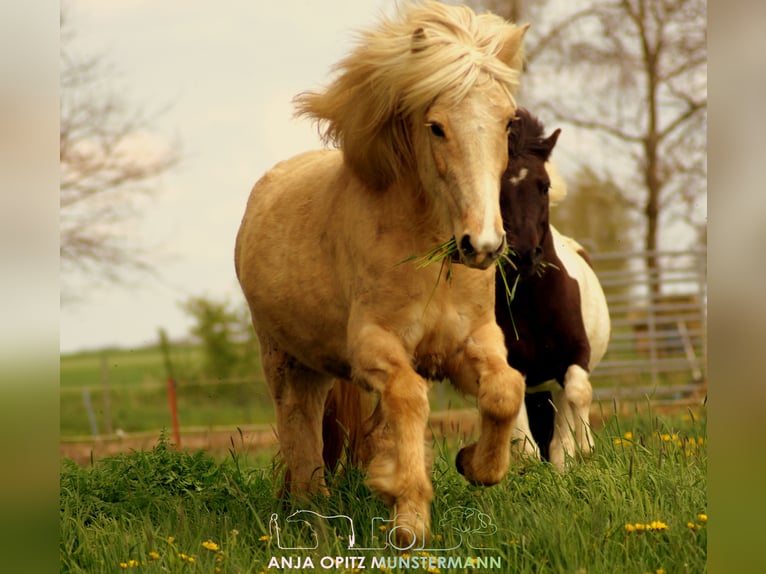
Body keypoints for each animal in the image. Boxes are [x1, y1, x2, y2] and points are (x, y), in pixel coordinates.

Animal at [235, 1, 529, 548]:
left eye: (507, 123)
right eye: (436, 126)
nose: (482, 245)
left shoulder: (471, 342)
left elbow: (505, 391)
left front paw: (473, 464)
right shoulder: (375, 346)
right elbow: (409, 399)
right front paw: (407, 515)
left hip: (317, 367)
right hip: (285, 361)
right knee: (300, 433)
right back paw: (314, 518)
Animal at [497, 108, 611, 470]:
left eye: (543, 186)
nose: (524, 254)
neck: (535, 297)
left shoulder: (576, 353)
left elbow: (578, 393)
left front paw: (577, 453)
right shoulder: (512, 362)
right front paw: (527, 463)